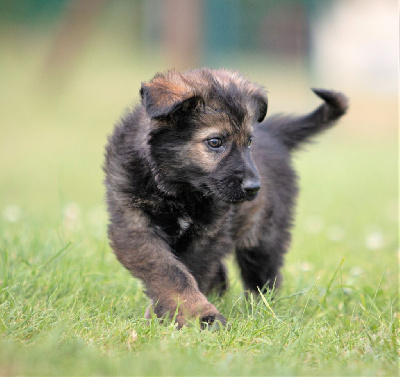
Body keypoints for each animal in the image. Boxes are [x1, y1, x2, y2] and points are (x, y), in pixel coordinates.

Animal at [103, 69, 346, 328]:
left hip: (263, 237)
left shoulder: (208, 235)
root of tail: (272, 134)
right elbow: (171, 272)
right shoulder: (134, 226)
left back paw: (264, 310)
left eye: (249, 142)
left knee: (264, 280)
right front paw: (194, 314)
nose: (253, 188)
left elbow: (189, 272)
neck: (179, 190)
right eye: (215, 142)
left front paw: (186, 316)